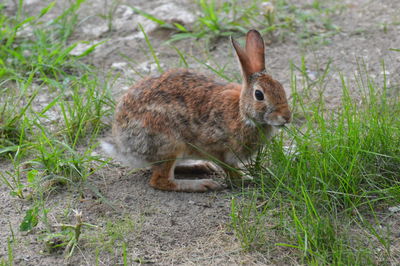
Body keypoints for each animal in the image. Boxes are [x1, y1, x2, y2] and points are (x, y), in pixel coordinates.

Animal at [101, 29, 290, 191]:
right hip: (169, 142)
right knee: (160, 180)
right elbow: (230, 169)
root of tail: (123, 144)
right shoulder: (218, 149)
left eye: (281, 88)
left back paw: (201, 166)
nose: (286, 117)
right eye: (259, 95)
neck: (242, 112)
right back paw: (203, 184)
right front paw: (244, 180)